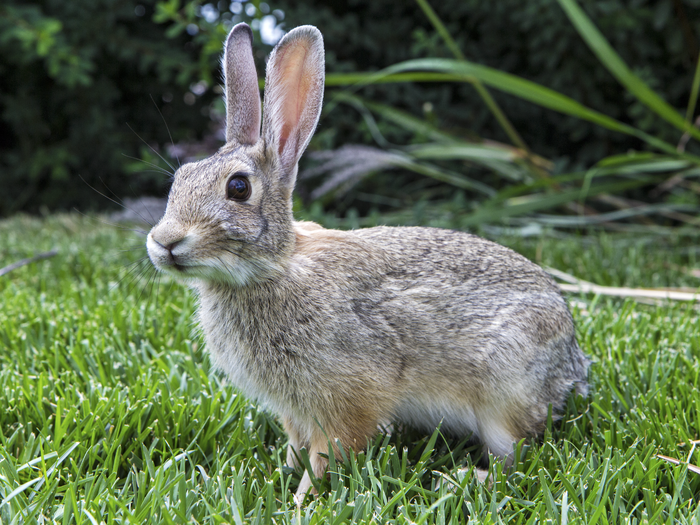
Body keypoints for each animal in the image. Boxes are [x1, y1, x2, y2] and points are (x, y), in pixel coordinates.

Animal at [146, 22, 592, 502]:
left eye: (239, 188)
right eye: (180, 178)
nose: (164, 242)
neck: (275, 267)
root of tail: (571, 364)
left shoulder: (349, 395)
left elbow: (330, 451)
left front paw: (300, 502)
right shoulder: (295, 410)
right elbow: (296, 445)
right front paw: (279, 477)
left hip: (503, 390)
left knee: (517, 457)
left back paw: (460, 479)